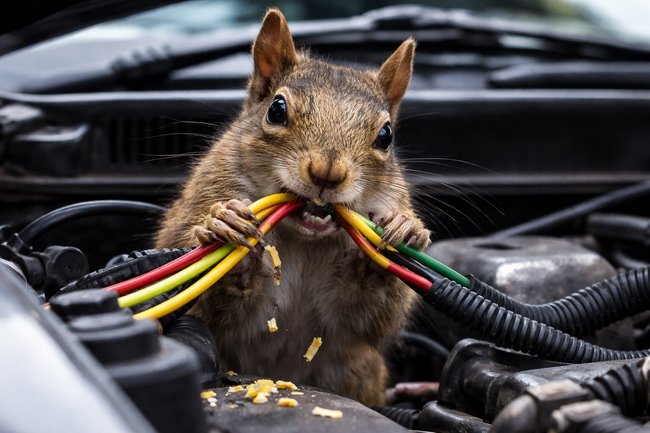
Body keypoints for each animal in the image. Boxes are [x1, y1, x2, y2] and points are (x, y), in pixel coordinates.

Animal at [155, 9, 431, 406]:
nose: (327, 172)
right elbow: (203, 306)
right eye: (276, 109)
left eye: (386, 135)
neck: (304, 239)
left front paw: (397, 237)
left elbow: (371, 322)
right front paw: (226, 227)